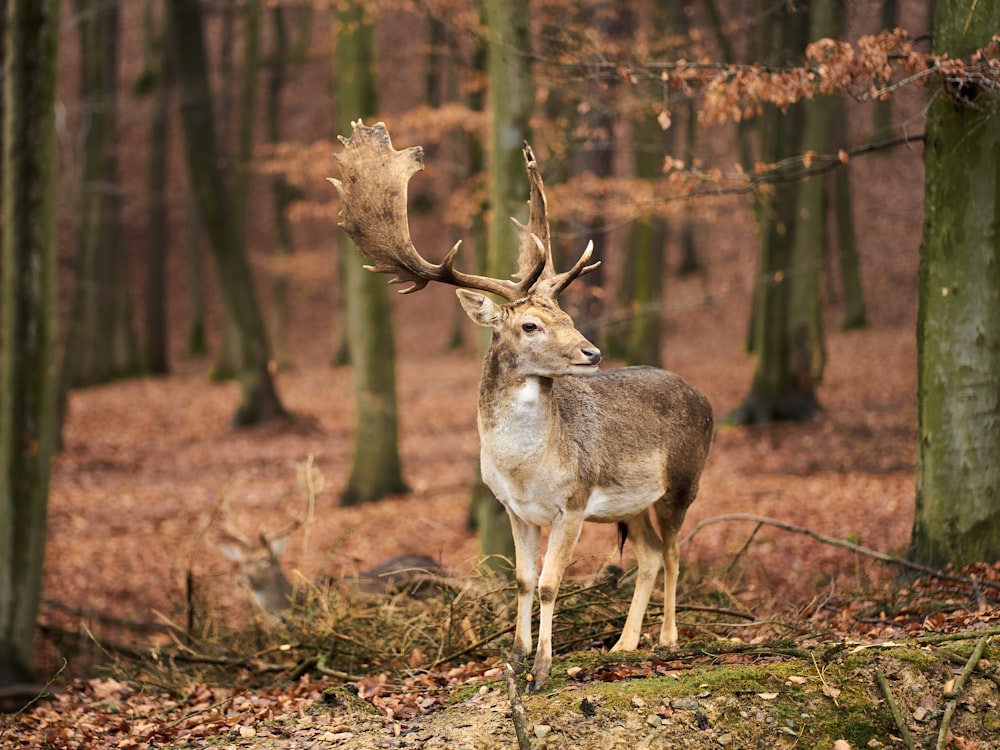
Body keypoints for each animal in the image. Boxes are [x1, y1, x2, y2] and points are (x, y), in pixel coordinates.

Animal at [328, 120, 712, 692]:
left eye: (567, 315)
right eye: (531, 324)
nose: (592, 352)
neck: (525, 468)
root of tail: (705, 399)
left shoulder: (574, 500)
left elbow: (553, 584)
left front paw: (543, 669)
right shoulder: (513, 508)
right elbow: (524, 580)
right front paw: (514, 657)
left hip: (683, 483)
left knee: (672, 553)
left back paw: (666, 640)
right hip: (632, 504)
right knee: (646, 556)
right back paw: (623, 644)